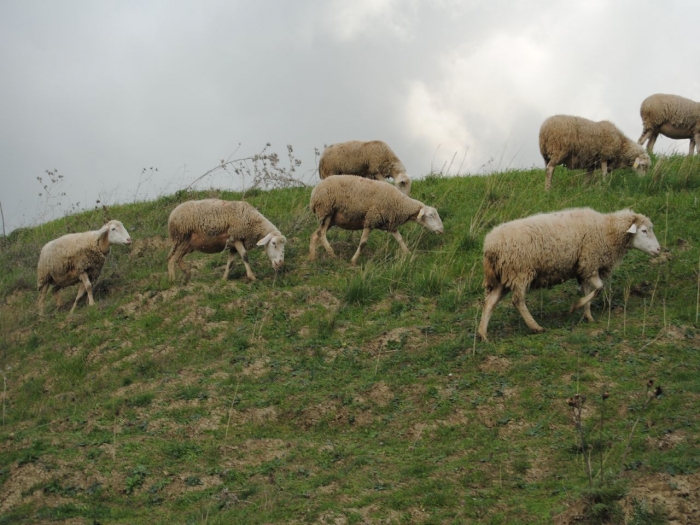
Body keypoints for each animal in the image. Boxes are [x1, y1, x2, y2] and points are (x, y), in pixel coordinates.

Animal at [308, 175, 440, 266]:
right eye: (431, 215)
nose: (441, 229)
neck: (400, 204)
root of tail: (314, 192)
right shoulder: (371, 220)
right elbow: (363, 243)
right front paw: (353, 261)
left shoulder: (390, 224)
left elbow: (400, 239)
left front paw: (409, 254)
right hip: (326, 210)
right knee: (321, 233)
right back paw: (332, 253)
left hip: (330, 218)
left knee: (315, 235)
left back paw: (312, 257)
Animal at [476, 207, 660, 342]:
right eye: (644, 231)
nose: (659, 250)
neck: (607, 230)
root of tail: (489, 246)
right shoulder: (590, 263)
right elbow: (599, 288)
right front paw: (575, 306)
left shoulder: (584, 269)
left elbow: (588, 291)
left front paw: (588, 316)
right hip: (520, 272)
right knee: (517, 301)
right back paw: (536, 327)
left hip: (503, 278)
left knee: (489, 303)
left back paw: (483, 334)